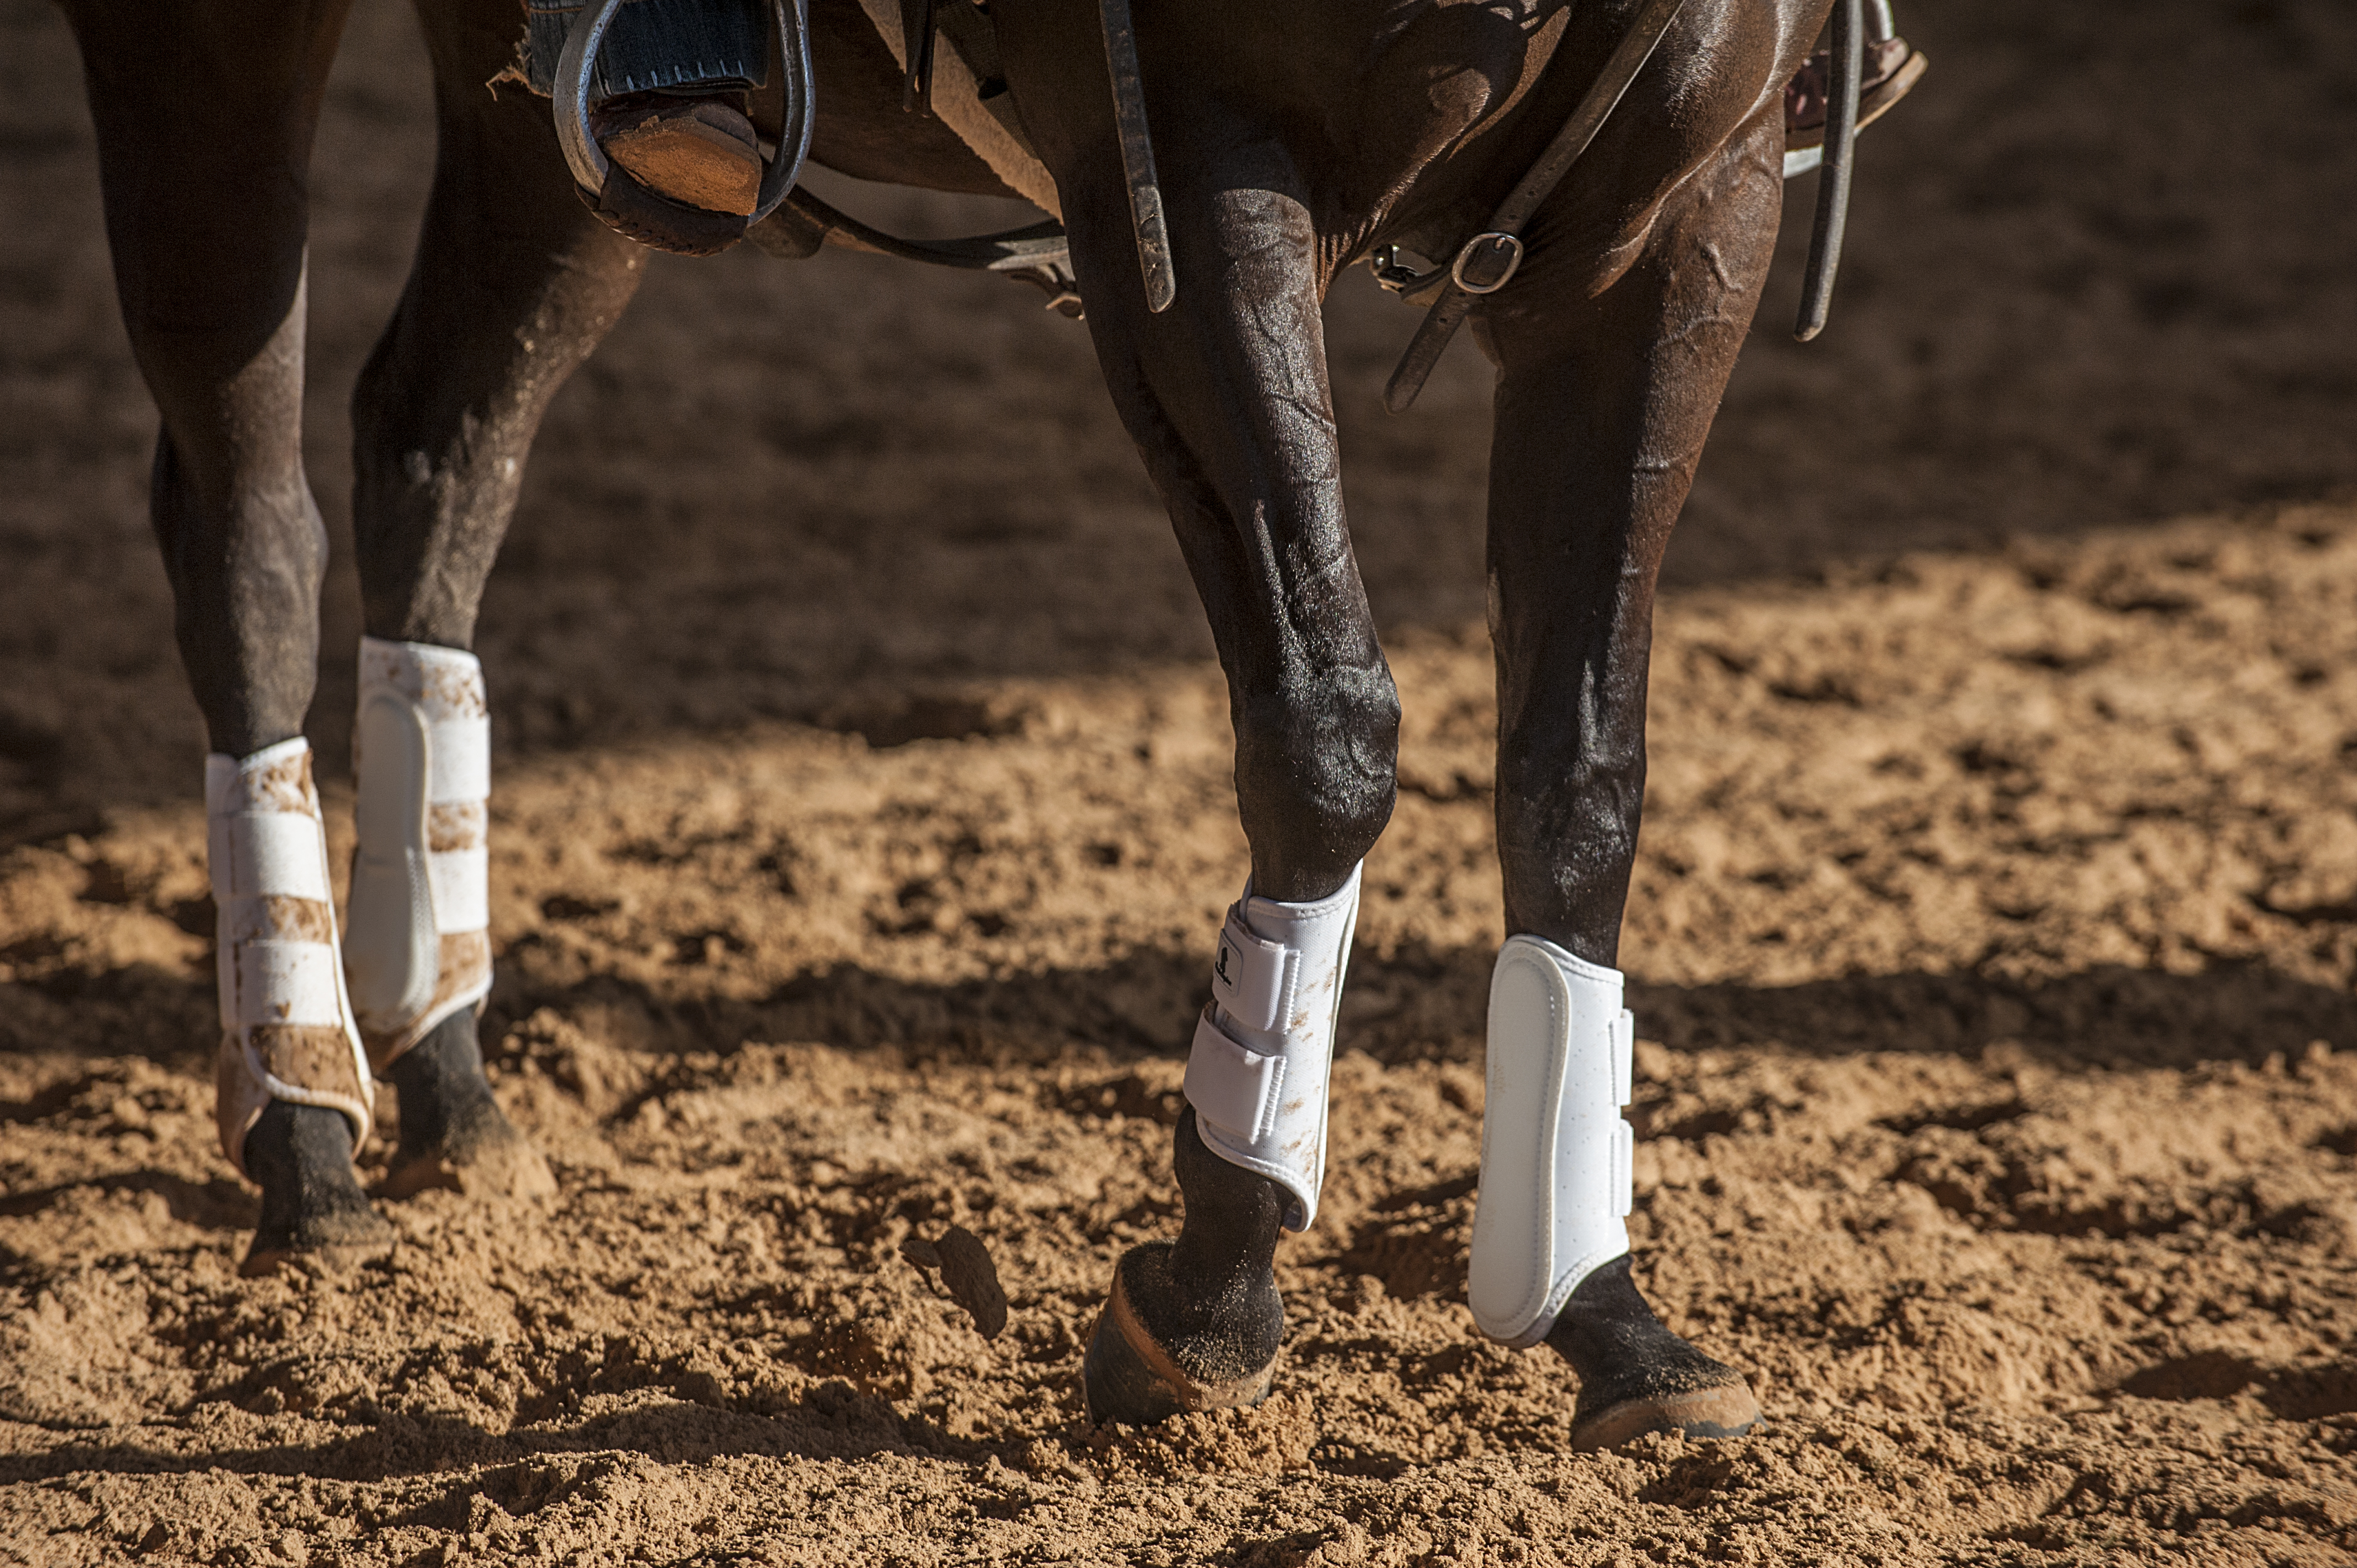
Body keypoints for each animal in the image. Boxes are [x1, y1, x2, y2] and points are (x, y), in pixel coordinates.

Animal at [57, 0, 1838, 1448]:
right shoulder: (1188, 183)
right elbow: (1328, 733)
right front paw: (1212, 1288)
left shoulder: (1688, 217)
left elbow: (1579, 767)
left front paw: (1600, 1307)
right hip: (209, 49)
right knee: (249, 530)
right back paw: (302, 1109)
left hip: (542, 138)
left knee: (437, 448)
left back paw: (434, 1046)